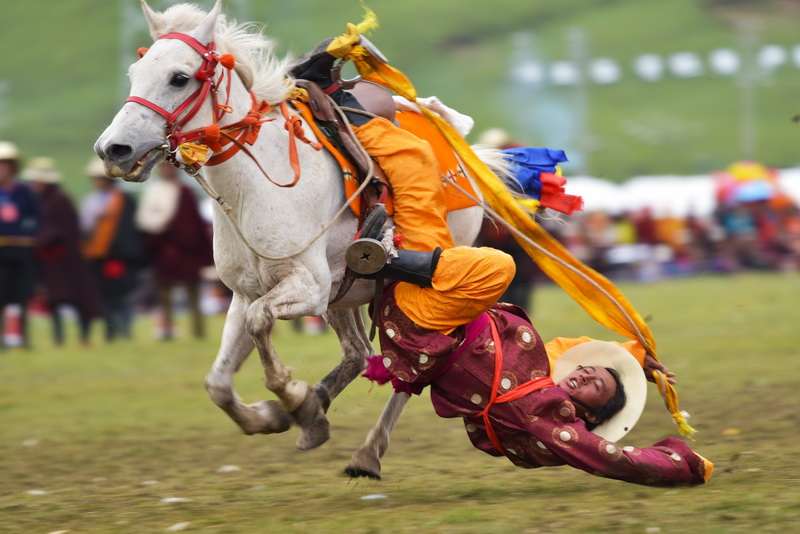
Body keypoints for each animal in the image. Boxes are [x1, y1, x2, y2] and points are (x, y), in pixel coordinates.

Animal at [97, 0, 504, 472]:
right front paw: (280, 415)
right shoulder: (246, 293)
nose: (113, 149)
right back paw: (319, 412)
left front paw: (293, 398)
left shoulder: (306, 288)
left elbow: (261, 324)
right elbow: (218, 381)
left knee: (421, 363)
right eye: (134, 72)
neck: (255, 185)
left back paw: (368, 450)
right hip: (345, 294)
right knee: (358, 353)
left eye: (179, 78)